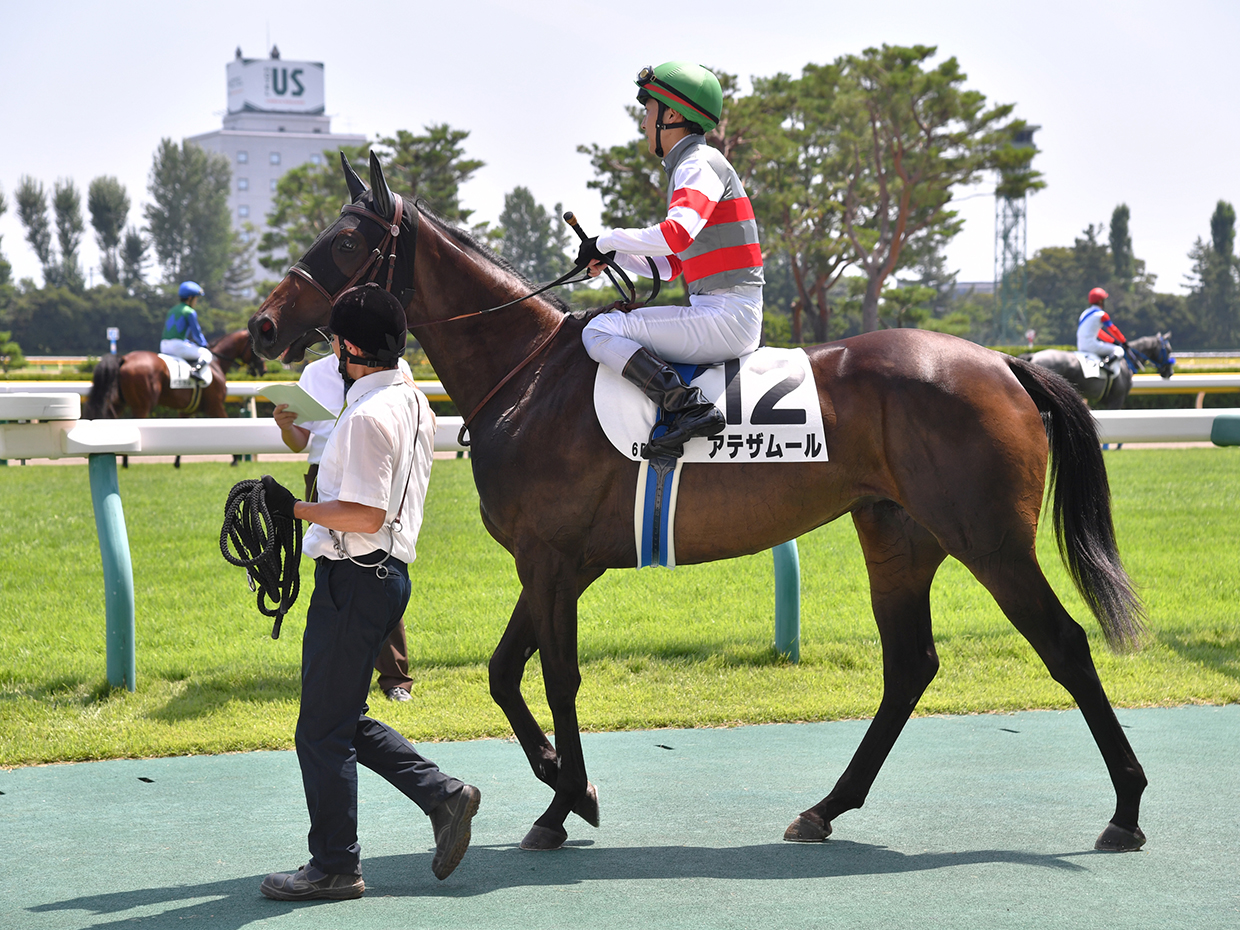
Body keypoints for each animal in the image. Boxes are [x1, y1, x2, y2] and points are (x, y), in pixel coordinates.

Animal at [84, 328, 265, 467]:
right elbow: (225, 424)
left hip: (120, 402)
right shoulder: (215, 406)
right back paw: (126, 462)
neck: (216, 364)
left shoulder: (187, 410)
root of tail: (124, 358)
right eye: (254, 345)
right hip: (142, 405)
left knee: (110, 418)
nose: (263, 369)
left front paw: (177, 462)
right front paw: (235, 459)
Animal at [249, 152, 1150, 856]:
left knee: (1065, 645)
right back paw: (826, 808)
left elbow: (558, 678)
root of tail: (1003, 363)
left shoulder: (552, 562)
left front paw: (562, 804)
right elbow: (507, 674)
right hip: (899, 536)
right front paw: (567, 789)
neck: (529, 376)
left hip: (989, 538)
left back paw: (1127, 808)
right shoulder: (557, 563)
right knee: (909, 667)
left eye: (345, 241)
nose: (261, 326)